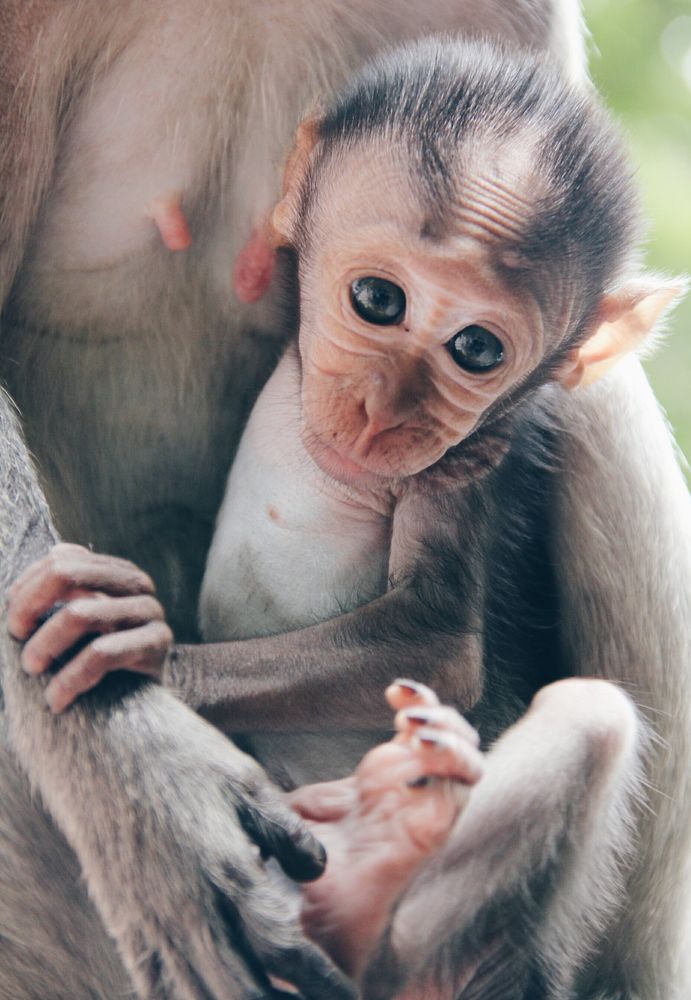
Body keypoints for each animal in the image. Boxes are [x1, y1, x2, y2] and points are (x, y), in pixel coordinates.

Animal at [0, 1, 689, 999]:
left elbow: (439, 631)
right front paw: (139, 772)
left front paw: (146, 668)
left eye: (476, 350)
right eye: (375, 299)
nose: (384, 412)